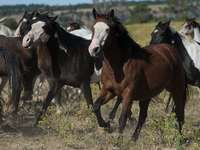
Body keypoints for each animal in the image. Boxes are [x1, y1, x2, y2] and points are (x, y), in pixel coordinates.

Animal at [88, 8, 187, 143]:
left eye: (107, 29)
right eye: (93, 28)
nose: (93, 49)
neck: (119, 65)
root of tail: (169, 49)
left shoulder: (128, 94)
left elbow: (122, 118)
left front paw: (119, 142)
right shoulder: (108, 90)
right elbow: (96, 106)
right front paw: (108, 126)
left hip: (176, 90)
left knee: (179, 112)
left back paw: (181, 139)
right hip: (147, 95)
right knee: (143, 116)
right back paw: (133, 138)